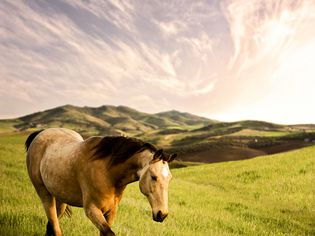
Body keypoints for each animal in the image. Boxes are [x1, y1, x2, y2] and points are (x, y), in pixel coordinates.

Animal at [24, 128, 178, 235]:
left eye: (169, 178)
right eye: (153, 177)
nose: (162, 214)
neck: (107, 171)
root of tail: (40, 133)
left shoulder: (111, 211)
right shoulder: (92, 210)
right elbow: (109, 233)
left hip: (61, 199)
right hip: (45, 194)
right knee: (54, 224)